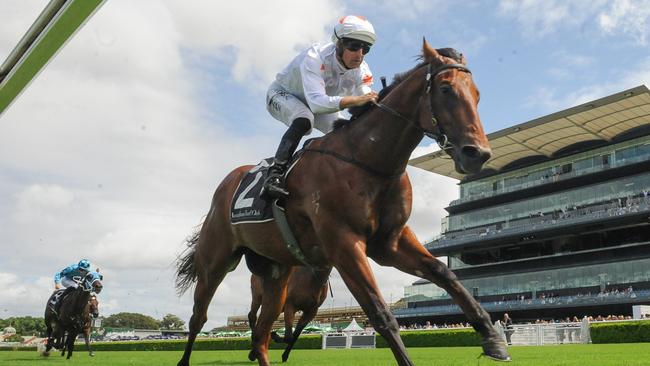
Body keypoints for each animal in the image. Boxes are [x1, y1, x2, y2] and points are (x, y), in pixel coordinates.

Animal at [175, 40, 508, 366]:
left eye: (477, 94)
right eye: (446, 89)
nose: (477, 154)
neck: (367, 161)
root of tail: (226, 185)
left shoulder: (389, 243)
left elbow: (445, 273)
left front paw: (492, 337)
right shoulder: (344, 244)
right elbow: (381, 314)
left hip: (275, 274)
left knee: (261, 334)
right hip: (214, 263)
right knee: (199, 317)